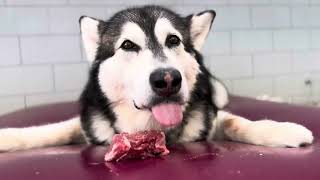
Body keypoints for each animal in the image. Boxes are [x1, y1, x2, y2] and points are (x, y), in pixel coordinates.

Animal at [0, 5, 314, 151]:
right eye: (128, 45)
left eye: (173, 40)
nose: (167, 80)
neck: (151, 127)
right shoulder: (91, 125)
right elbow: (52, 129)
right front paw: (9, 137)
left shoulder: (209, 119)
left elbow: (237, 121)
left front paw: (283, 130)